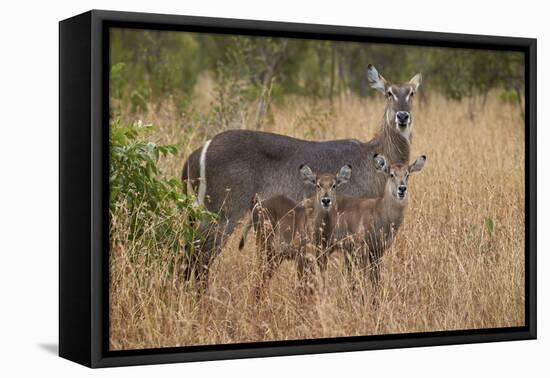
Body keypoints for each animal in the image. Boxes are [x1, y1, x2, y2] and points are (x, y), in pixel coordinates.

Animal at [238, 164, 352, 296]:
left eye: (334, 185)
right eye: (318, 185)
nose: (326, 200)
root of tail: (257, 205)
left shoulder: (322, 258)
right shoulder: (301, 258)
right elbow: (303, 288)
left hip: (276, 256)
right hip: (264, 249)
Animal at [334, 154, 430, 290]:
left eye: (407, 174)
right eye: (391, 174)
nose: (402, 189)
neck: (379, 211)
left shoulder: (377, 251)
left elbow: (376, 278)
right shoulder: (363, 249)